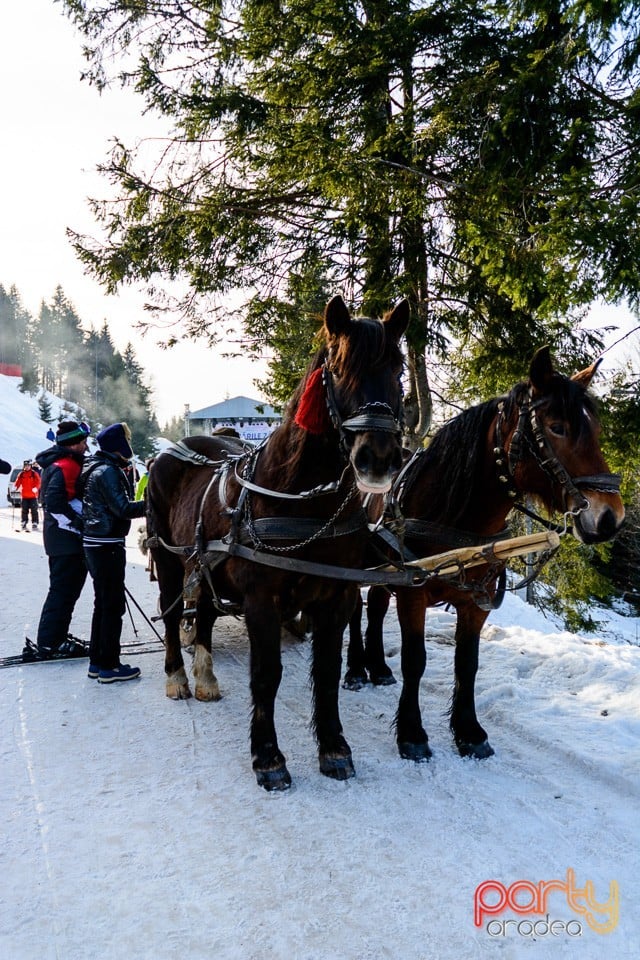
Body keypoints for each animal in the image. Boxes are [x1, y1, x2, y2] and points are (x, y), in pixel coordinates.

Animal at [148, 296, 408, 792]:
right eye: (339, 367)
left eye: (398, 367)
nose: (379, 458)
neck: (303, 502)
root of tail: (174, 449)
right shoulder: (261, 599)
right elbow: (267, 673)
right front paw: (268, 757)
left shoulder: (336, 596)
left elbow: (326, 672)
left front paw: (333, 748)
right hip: (167, 560)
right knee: (174, 616)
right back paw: (177, 677)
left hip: (206, 564)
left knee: (203, 613)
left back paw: (206, 677)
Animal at [344, 348, 624, 760]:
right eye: (556, 427)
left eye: (597, 432)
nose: (610, 518)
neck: (456, 519)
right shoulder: (413, 593)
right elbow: (415, 661)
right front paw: (412, 733)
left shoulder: (475, 602)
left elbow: (468, 664)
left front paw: (469, 731)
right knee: (352, 610)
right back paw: (353, 671)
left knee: (376, 606)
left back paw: (377, 667)